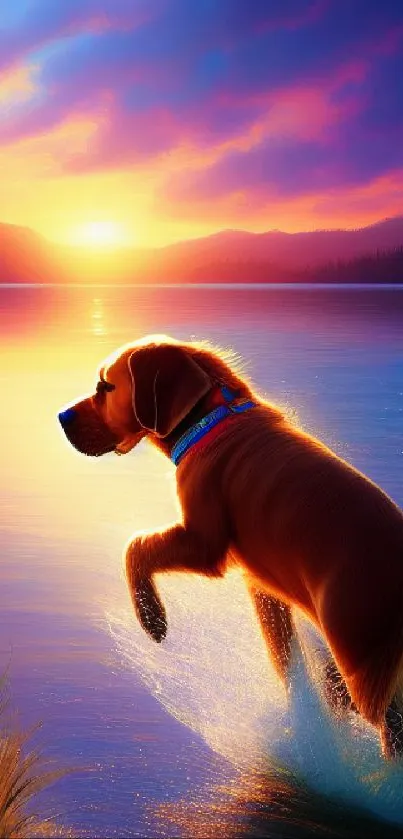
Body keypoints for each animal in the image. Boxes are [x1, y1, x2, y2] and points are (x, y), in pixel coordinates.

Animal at [58, 334, 403, 760]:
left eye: (106, 387)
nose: (61, 417)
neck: (210, 416)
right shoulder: (263, 586)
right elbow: (285, 659)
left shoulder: (202, 543)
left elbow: (136, 546)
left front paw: (151, 617)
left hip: (364, 658)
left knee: (388, 726)